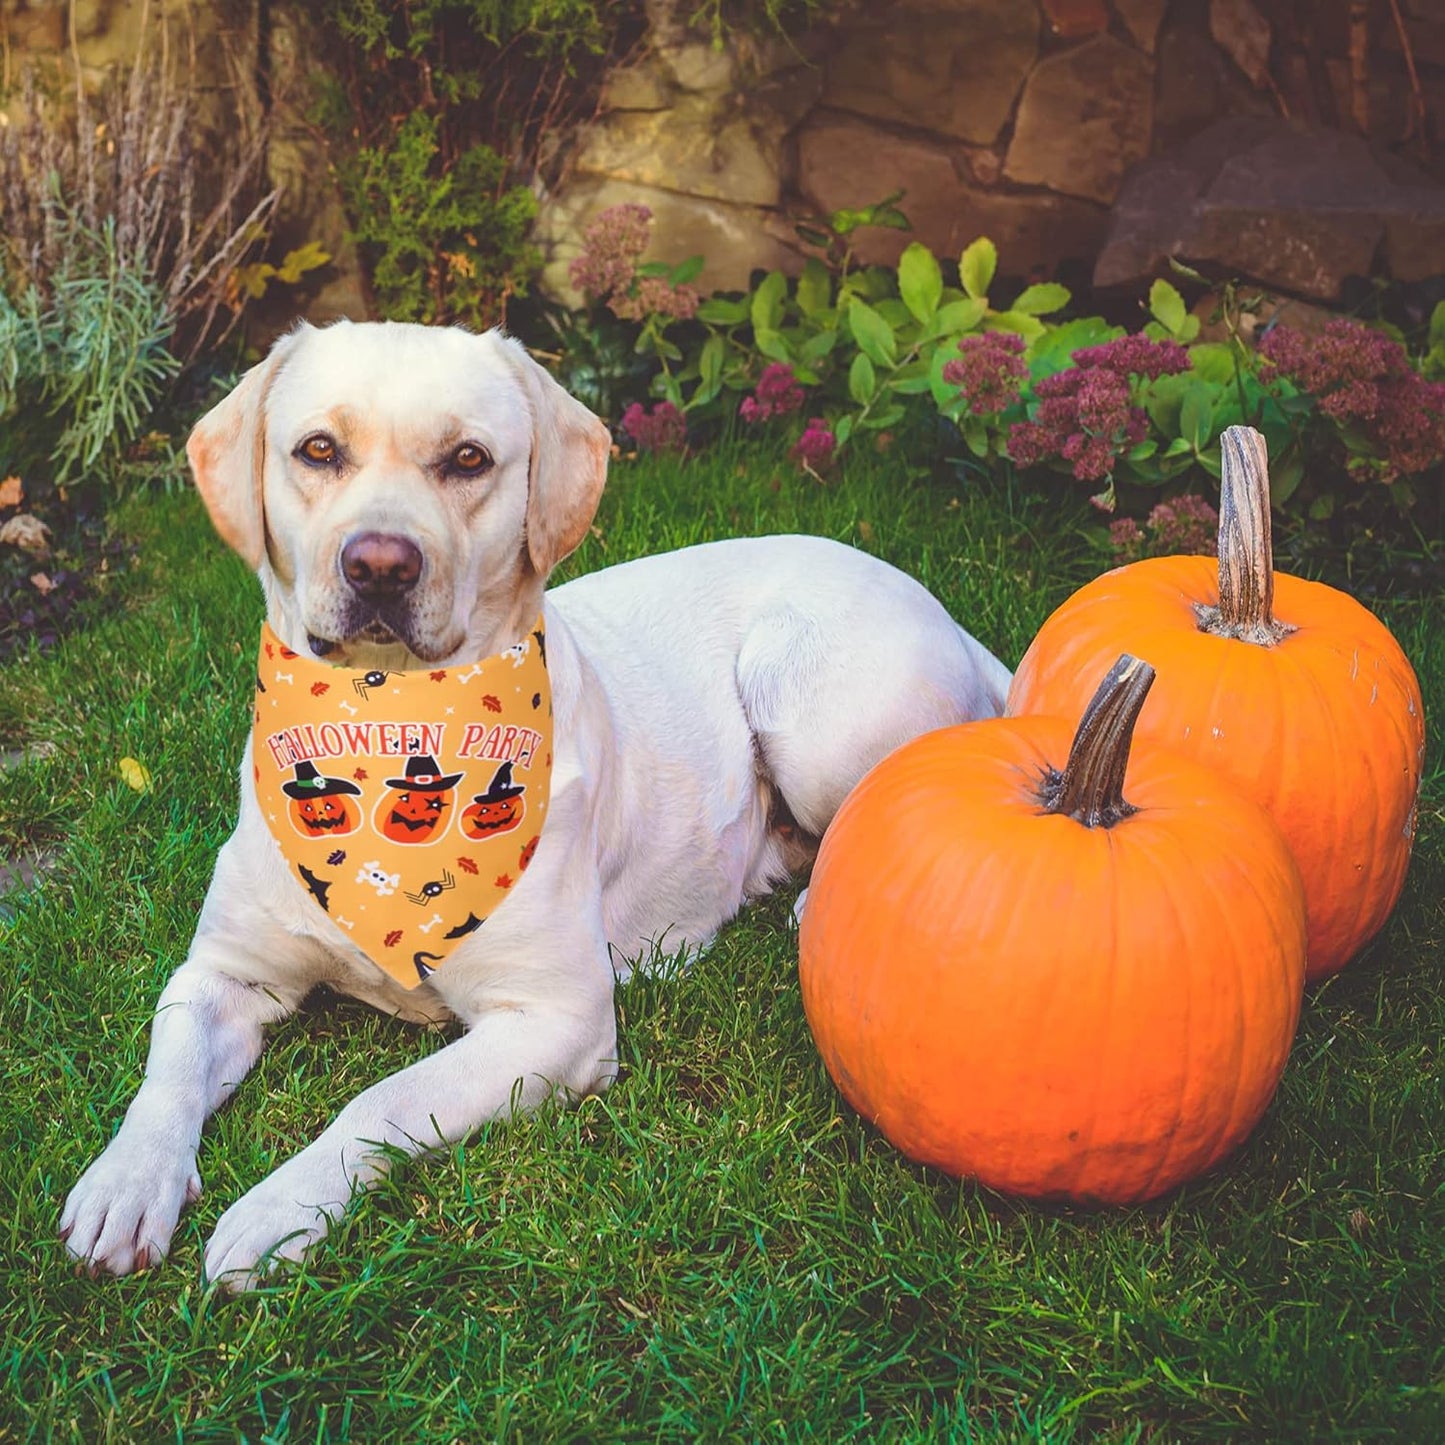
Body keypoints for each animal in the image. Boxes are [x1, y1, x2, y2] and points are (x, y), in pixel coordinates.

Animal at [56, 319, 1005, 1288]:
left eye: (468, 459)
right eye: (318, 449)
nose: (380, 564)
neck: (388, 724)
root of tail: (934, 602)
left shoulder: (556, 1018)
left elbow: (385, 1096)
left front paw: (279, 1208)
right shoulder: (223, 972)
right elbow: (167, 1066)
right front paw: (126, 1181)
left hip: (802, 702)